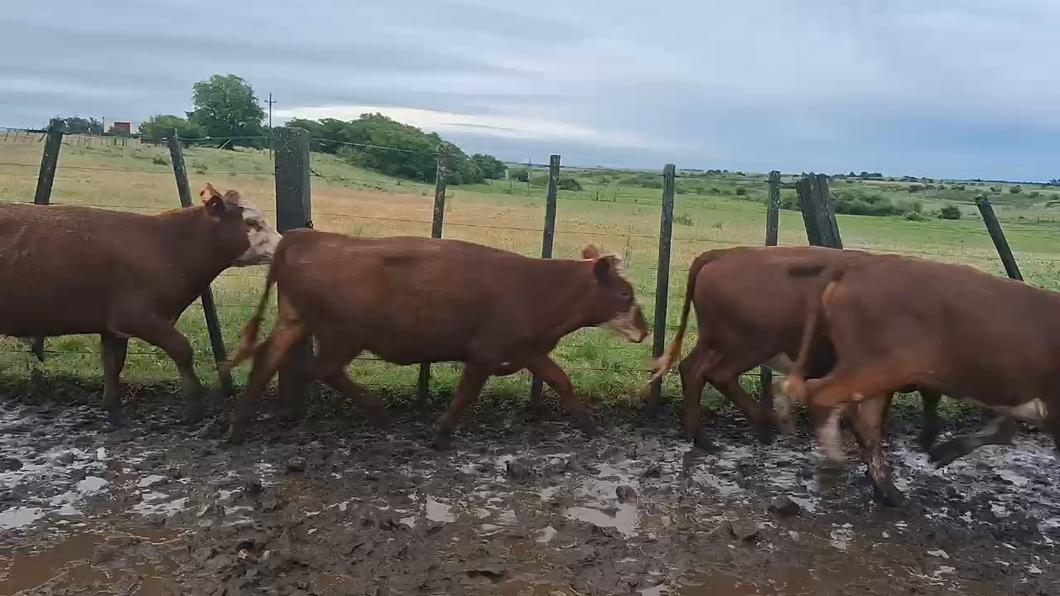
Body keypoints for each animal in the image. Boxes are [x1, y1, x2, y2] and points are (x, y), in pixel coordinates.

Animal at [0, 184, 281, 422]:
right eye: (252, 222)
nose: (282, 245)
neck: (169, 247)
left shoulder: (113, 328)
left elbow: (113, 365)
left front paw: (114, 410)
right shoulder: (137, 317)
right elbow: (182, 349)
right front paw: (194, 406)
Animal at [224, 231, 648, 445]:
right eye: (624, 293)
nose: (644, 330)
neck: (539, 289)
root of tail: (305, 234)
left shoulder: (529, 350)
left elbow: (561, 380)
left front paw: (590, 425)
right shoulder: (485, 351)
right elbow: (467, 393)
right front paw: (441, 432)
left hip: (295, 320)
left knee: (266, 361)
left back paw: (238, 429)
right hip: (343, 333)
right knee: (321, 368)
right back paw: (378, 413)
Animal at [648, 243, 941, 451]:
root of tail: (723, 254)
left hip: (712, 339)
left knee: (691, 369)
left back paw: (699, 438)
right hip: (748, 345)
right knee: (717, 374)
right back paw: (764, 425)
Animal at [784, 252, 1055, 502]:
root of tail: (855, 267)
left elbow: (1002, 428)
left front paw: (937, 451)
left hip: (875, 372)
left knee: (866, 421)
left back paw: (890, 493)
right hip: (877, 366)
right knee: (821, 393)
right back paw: (835, 468)